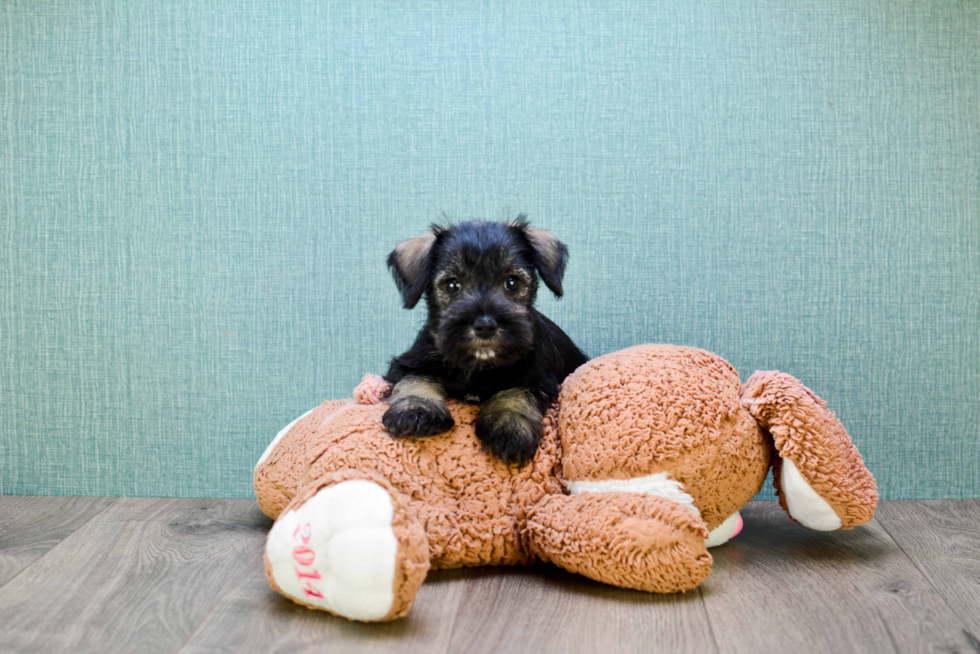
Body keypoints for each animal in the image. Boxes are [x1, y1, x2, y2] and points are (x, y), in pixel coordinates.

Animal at [378, 219, 584, 466]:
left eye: (512, 282)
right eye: (452, 285)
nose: (485, 325)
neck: (478, 367)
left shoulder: (538, 378)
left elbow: (516, 393)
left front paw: (510, 430)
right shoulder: (409, 363)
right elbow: (415, 379)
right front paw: (417, 410)